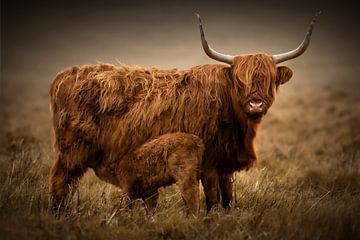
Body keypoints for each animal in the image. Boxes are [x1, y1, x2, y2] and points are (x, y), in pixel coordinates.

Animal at [48, 12, 320, 211]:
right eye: (239, 81)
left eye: (268, 80)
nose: (255, 104)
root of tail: (66, 74)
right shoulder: (208, 161)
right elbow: (212, 196)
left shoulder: (225, 162)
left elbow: (228, 196)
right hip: (72, 150)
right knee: (60, 181)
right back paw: (60, 214)